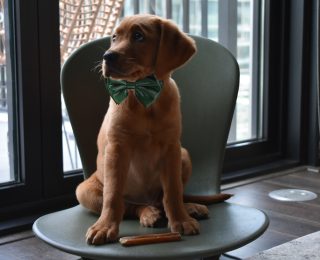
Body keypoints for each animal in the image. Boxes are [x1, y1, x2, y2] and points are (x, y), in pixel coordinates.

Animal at [76, 14, 229, 246]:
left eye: (138, 36)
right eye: (114, 37)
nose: (107, 56)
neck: (141, 95)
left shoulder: (171, 148)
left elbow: (173, 191)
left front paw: (181, 220)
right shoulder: (117, 149)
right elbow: (113, 196)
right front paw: (104, 227)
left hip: (184, 155)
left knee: (165, 199)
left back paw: (189, 208)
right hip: (84, 190)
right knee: (130, 206)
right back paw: (149, 214)